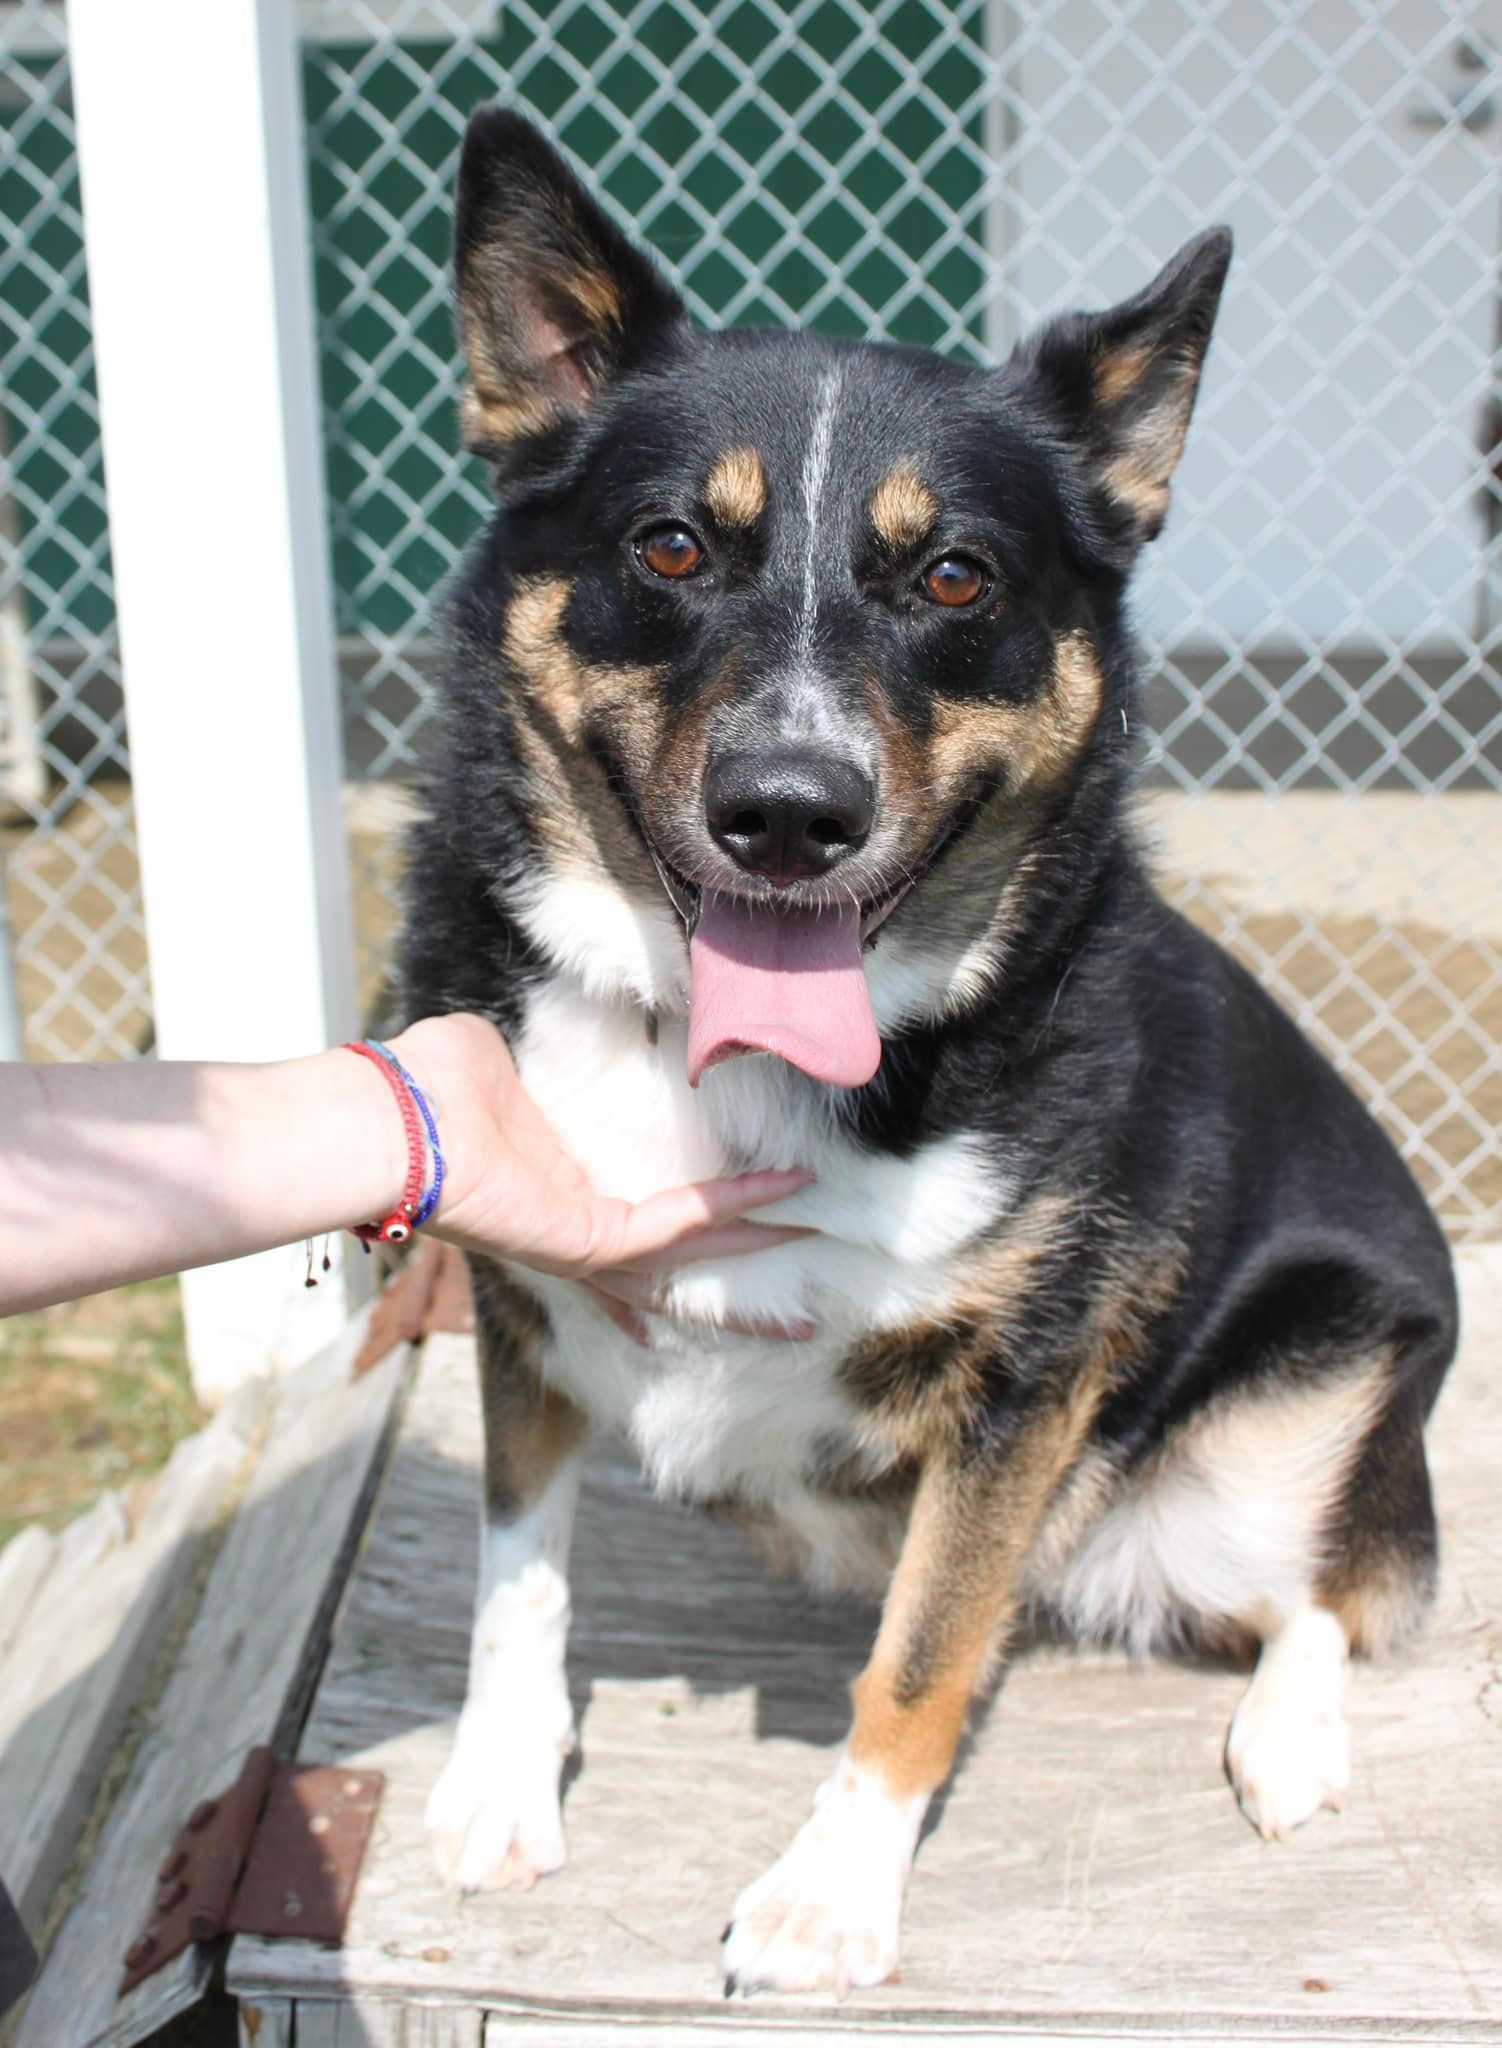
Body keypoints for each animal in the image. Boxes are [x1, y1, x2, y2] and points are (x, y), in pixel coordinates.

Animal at [395, 103, 1450, 1990]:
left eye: (954, 574)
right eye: (671, 546)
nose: (788, 813)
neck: (709, 1050)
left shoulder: (1021, 1389)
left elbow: (920, 1658)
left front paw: (830, 1892)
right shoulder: (521, 1305)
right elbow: (518, 1577)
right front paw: (500, 1789)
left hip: (1307, 1391)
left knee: (1332, 1586)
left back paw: (1286, 1734)